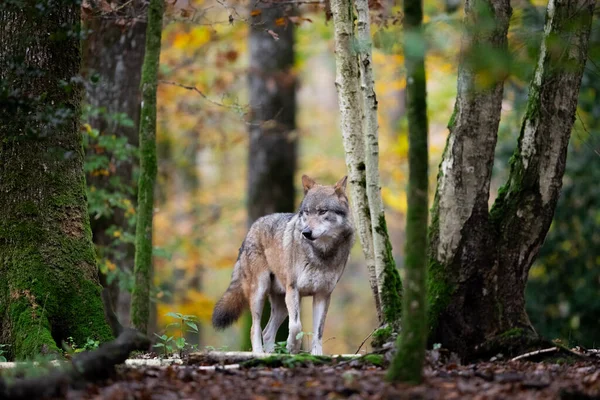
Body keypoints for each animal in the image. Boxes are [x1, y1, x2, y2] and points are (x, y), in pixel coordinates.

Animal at [212, 173, 354, 354]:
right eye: (306, 213)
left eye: (323, 211)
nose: (306, 232)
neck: (321, 253)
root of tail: (252, 227)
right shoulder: (293, 289)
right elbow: (296, 326)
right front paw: (292, 346)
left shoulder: (323, 295)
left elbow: (318, 333)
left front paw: (316, 354)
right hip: (261, 292)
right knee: (255, 328)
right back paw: (260, 354)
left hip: (281, 305)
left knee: (267, 332)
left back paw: (270, 353)